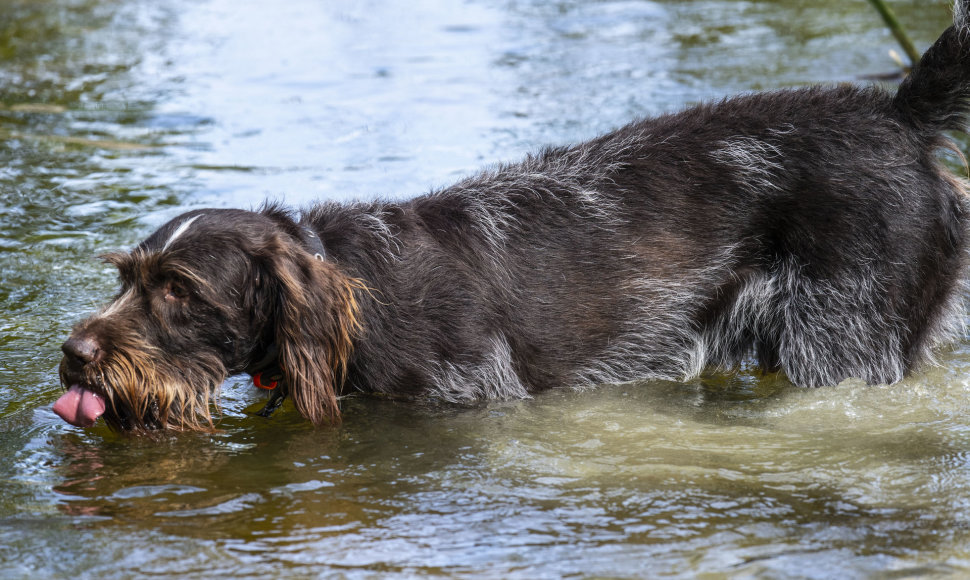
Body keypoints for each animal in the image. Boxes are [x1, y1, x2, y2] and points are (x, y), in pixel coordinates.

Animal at [56, 2, 968, 430]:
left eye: (180, 290)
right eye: (127, 277)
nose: (73, 355)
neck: (359, 294)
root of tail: (897, 116)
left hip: (842, 345)